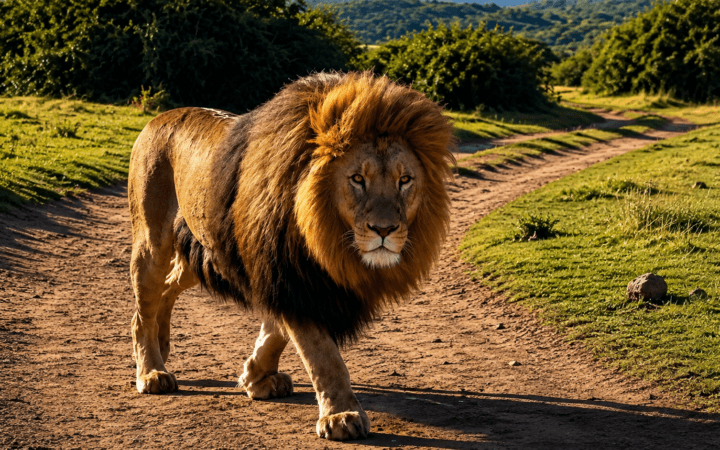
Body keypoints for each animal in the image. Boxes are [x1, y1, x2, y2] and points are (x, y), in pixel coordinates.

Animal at [128, 71, 455, 440]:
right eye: (358, 179)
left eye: (405, 180)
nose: (383, 230)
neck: (328, 241)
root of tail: (157, 119)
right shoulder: (289, 275)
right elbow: (322, 355)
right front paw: (341, 415)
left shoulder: (289, 278)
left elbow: (277, 333)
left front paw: (255, 377)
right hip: (152, 240)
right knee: (143, 309)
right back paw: (151, 371)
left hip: (207, 254)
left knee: (168, 288)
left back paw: (163, 343)